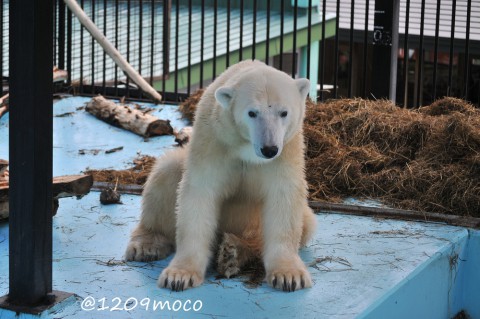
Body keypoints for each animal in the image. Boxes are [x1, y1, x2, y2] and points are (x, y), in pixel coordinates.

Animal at [125, 60, 316, 292]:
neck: (246, 150)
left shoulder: (286, 151)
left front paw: (289, 276)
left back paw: (234, 252)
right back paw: (147, 245)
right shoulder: (215, 140)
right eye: (252, 113)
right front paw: (179, 276)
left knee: (302, 223)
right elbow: (200, 193)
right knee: (166, 173)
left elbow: (283, 196)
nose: (269, 148)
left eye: (284, 112)